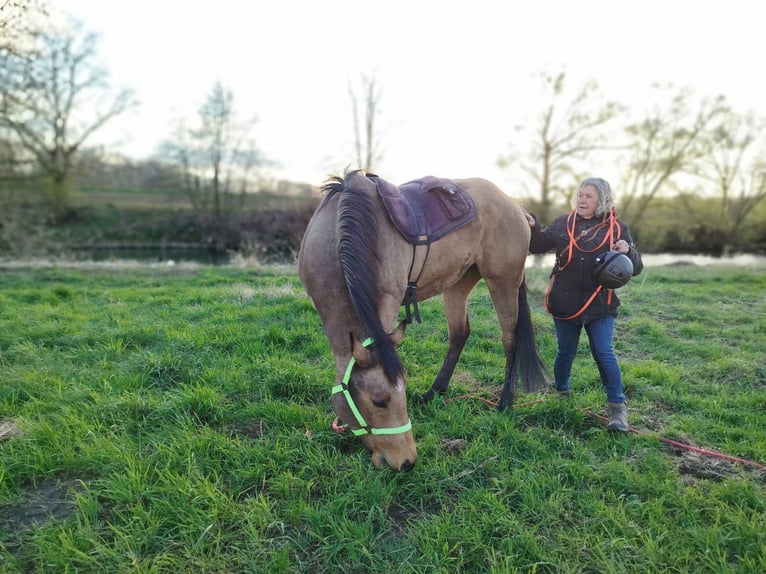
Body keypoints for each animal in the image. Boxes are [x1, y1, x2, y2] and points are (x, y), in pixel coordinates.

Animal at [296, 170, 548, 472]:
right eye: (379, 402)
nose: (407, 462)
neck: (338, 233)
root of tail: (515, 205)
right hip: (459, 283)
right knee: (459, 335)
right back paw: (435, 392)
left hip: (503, 283)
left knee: (510, 340)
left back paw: (505, 401)